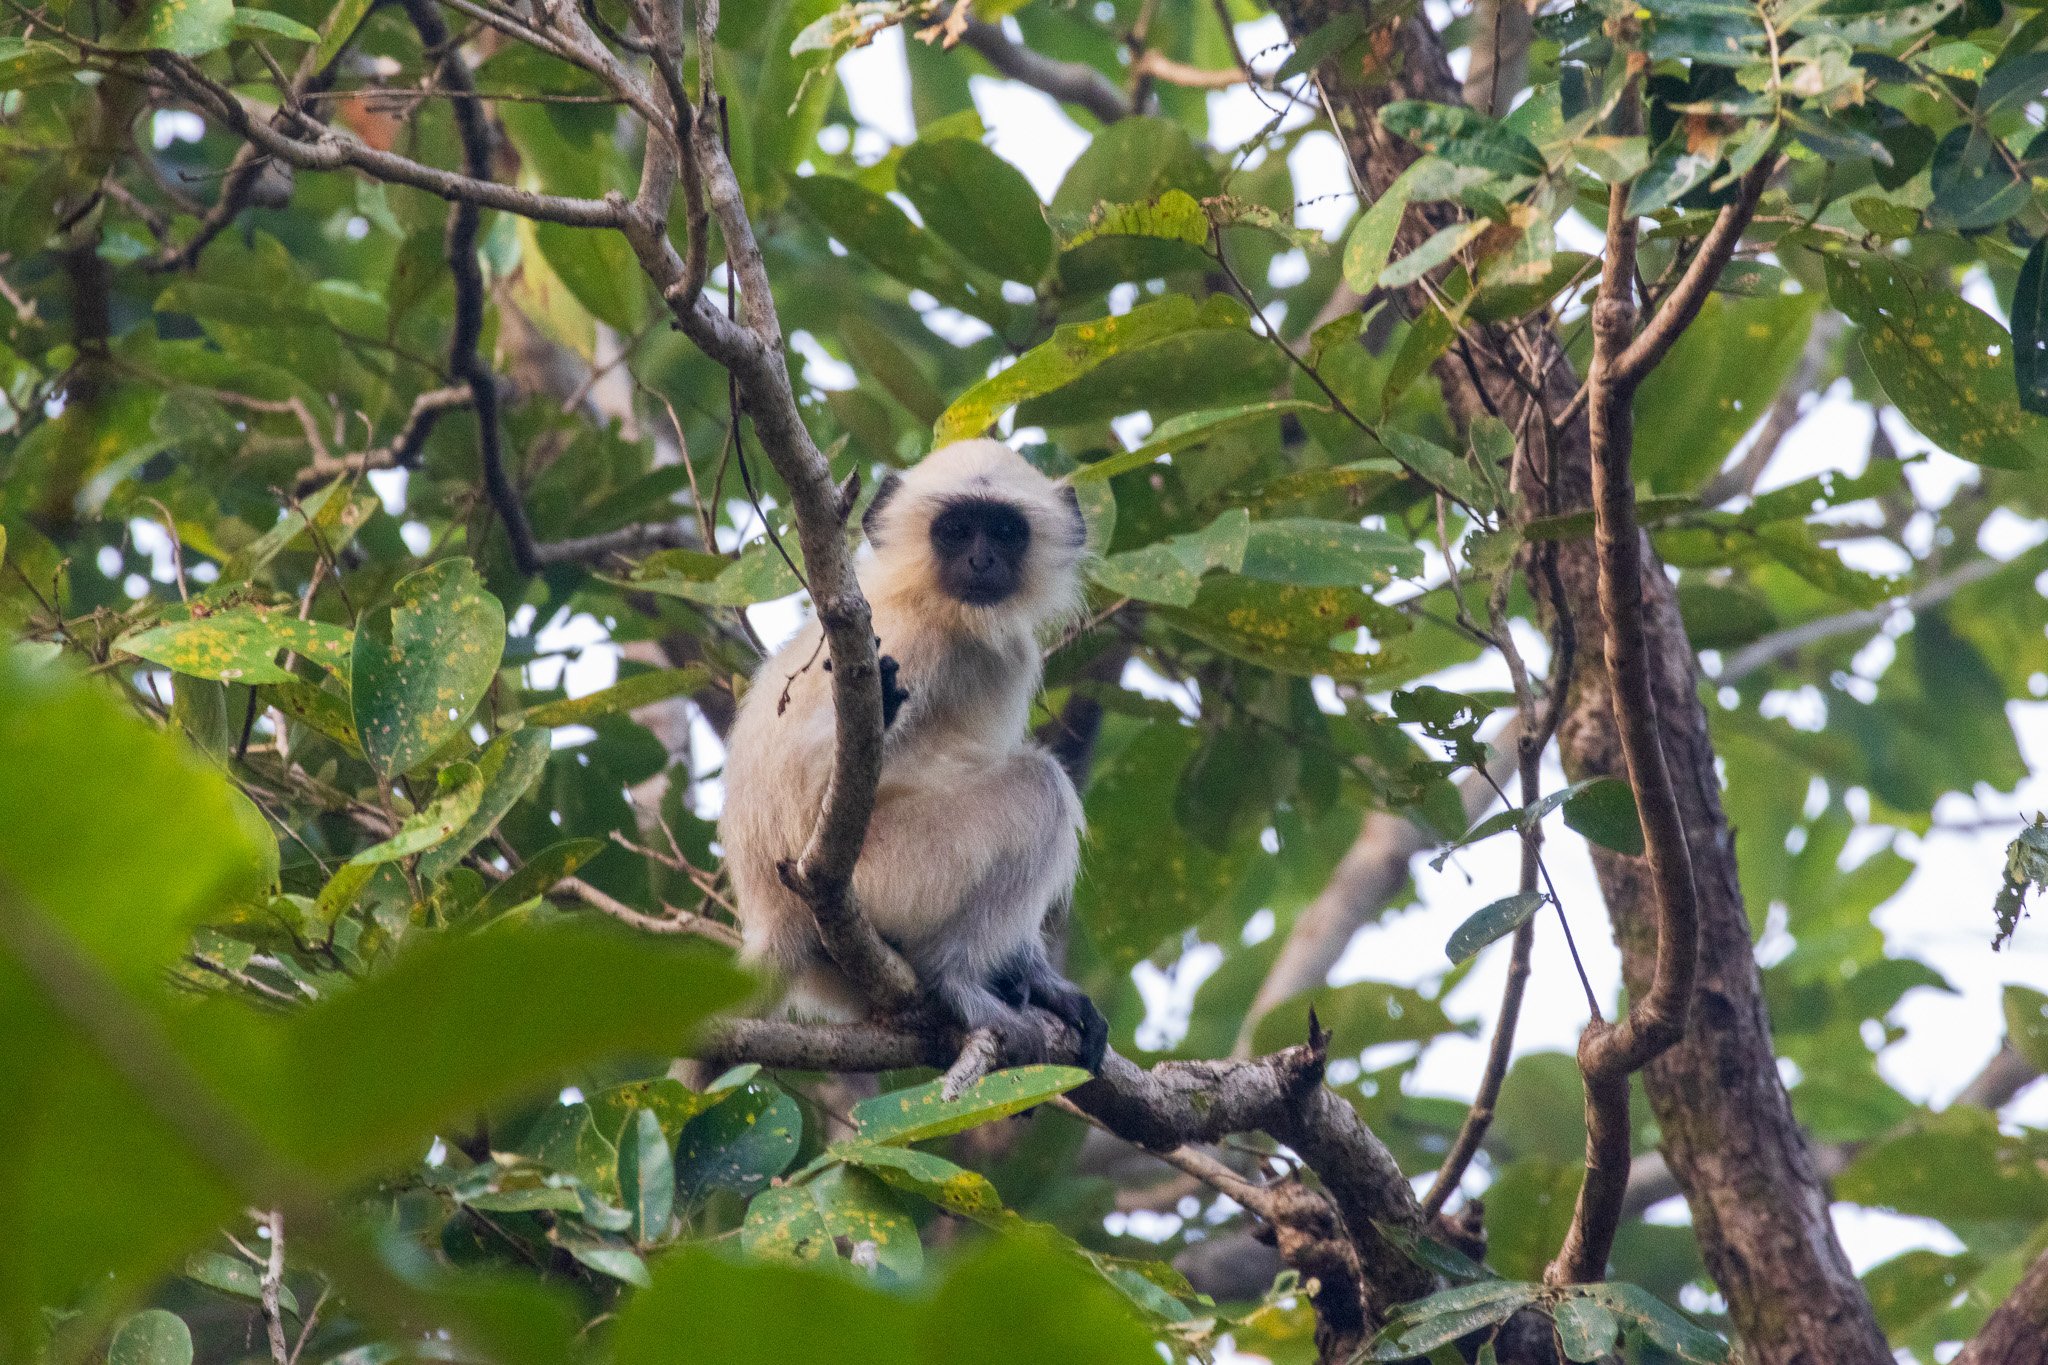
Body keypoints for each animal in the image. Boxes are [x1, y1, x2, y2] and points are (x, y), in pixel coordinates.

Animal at [716, 444, 1105, 1072]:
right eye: (954, 531)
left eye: (1004, 531)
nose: (980, 559)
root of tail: (772, 920)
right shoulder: (904, 639)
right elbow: (810, 785)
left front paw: (1045, 983)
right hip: (893, 871)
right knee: (1041, 782)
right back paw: (954, 979)